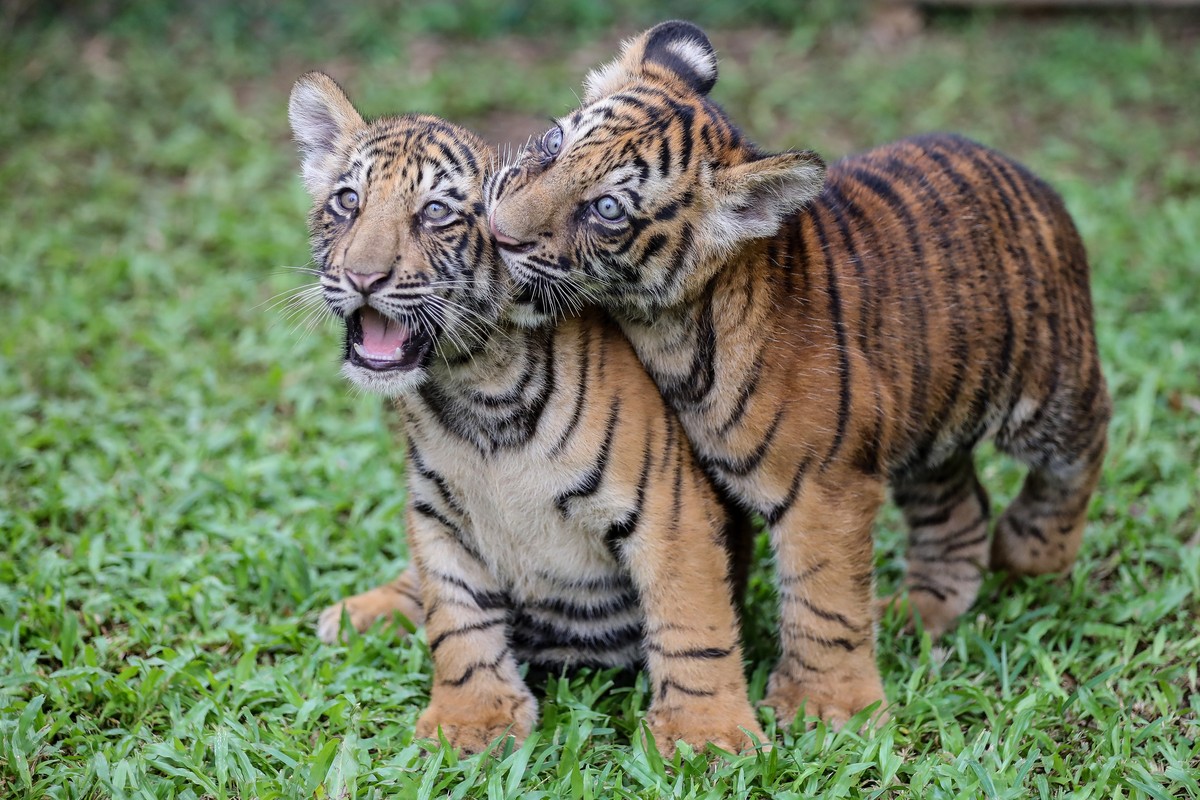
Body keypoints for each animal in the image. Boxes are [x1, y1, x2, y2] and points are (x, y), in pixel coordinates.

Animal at [287, 71, 766, 755]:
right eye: (348, 200)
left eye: (436, 212)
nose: (361, 276)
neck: (475, 386)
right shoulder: (435, 512)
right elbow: (455, 618)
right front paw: (471, 718)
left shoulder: (671, 511)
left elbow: (692, 619)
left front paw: (709, 734)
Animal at [487, 20, 1111, 728]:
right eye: (553, 143)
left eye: (610, 209)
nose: (498, 232)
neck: (666, 334)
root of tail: (1021, 170)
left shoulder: (827, 482)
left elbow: (823, 597)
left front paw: (825, 707)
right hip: (927, 427)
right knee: (958, 508)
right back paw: (919, 612)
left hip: (1049, 391)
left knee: (1085, 446)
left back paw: (1031, 554)